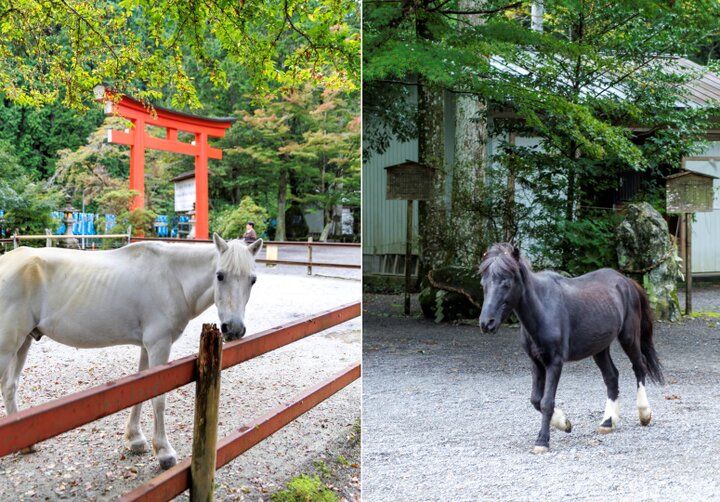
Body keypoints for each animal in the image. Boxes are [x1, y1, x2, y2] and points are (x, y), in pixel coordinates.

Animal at [0, 233, 262, 469]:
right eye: (220, 275)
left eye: (253, 280)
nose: (234, 328)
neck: (172, 278)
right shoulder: (159, 345)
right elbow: (158, 399)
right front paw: (164, 453)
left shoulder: (148, 347)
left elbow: (142, 391)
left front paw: (135, 439)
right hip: (7, 346)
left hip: (23, 342)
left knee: (10, 387)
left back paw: (25, 446)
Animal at [478, 243, 663, 454]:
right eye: (483, 283)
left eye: (506, 283)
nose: (486, 323)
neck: (543, 309)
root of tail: (626, 281)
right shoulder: (536, 362)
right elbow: (536, 399)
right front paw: (564, 423)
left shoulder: (555, 363)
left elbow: (546, 402)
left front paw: (542, 441)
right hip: (599, 348)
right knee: (611, 377)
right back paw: (608, 422)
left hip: (629, 338)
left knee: (639, 367)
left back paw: (644, 414)